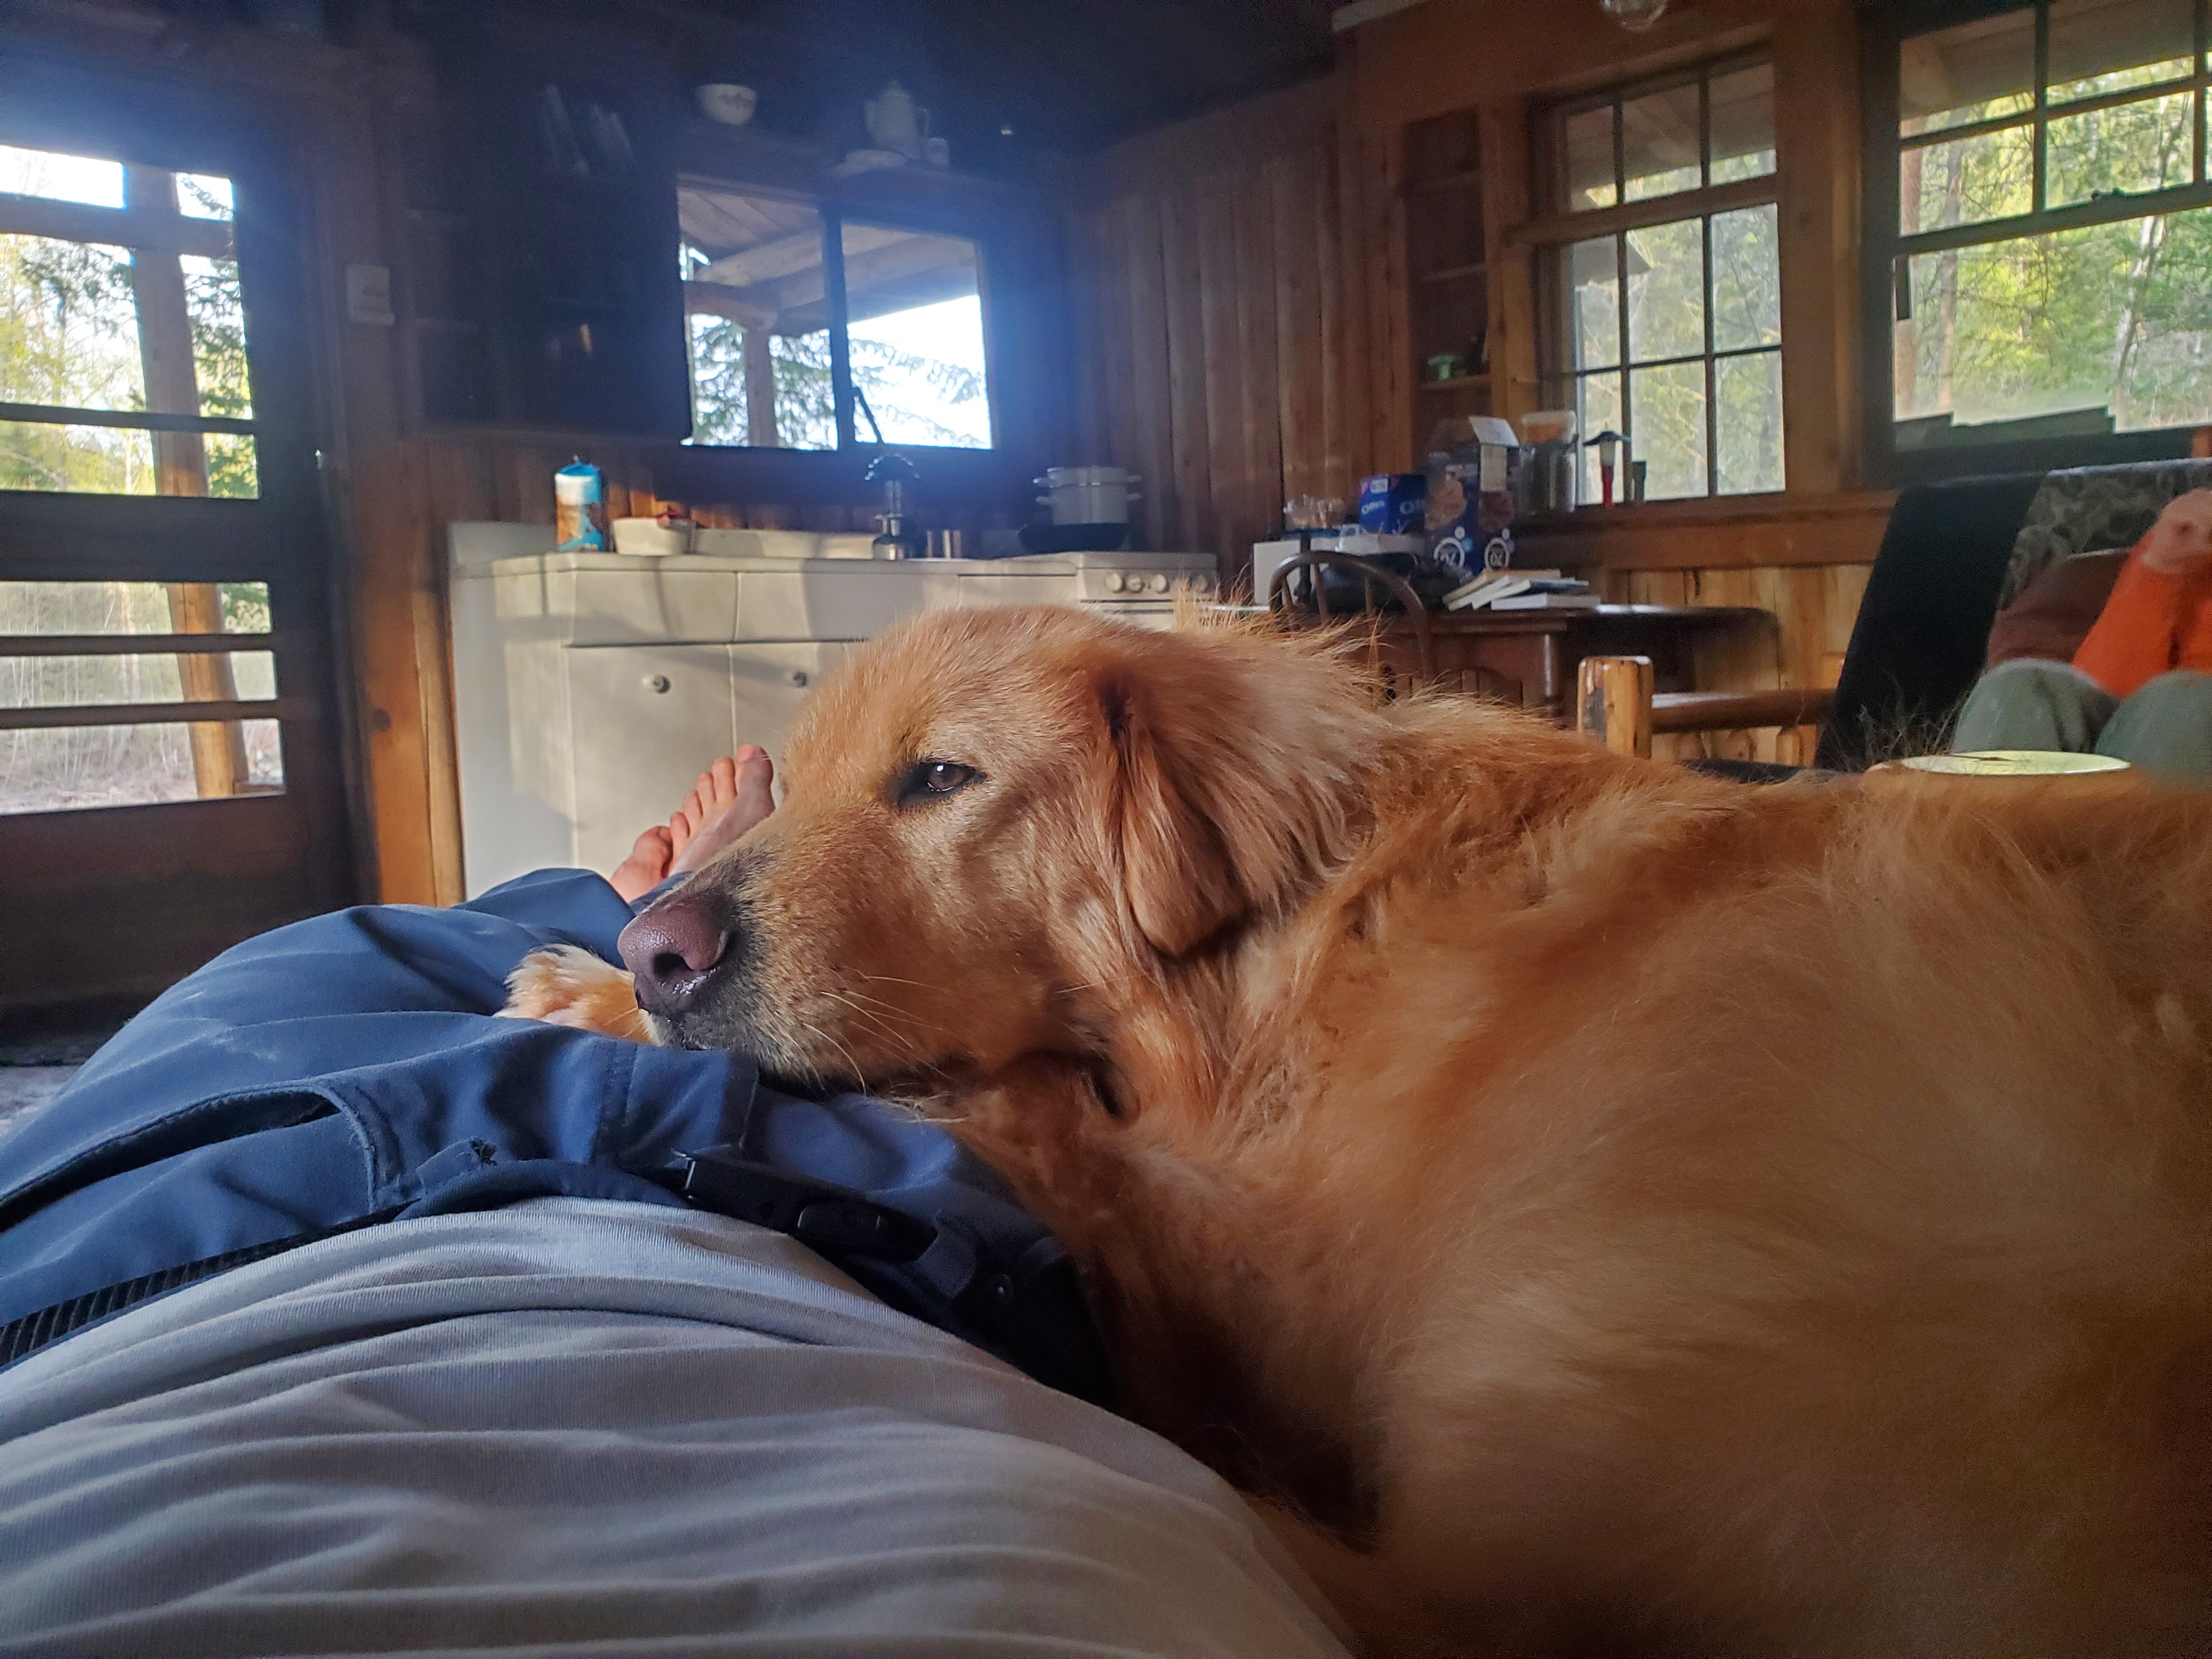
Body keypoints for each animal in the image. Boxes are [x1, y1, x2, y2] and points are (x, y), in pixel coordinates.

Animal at [509, 604, 2212, 1659]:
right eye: (796, 786)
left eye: (941, 777)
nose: (660, 949)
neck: (1292, 941)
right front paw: (590, 972)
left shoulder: (1257, 1274)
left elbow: (972, 1098)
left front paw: (578, 994)